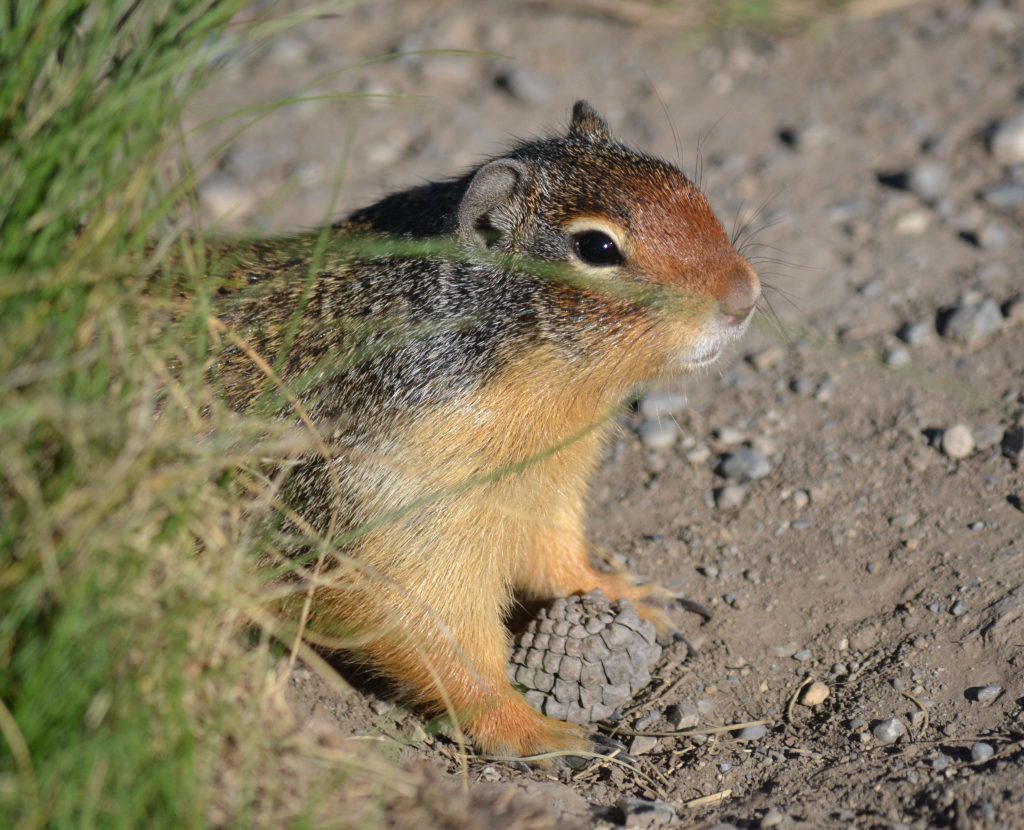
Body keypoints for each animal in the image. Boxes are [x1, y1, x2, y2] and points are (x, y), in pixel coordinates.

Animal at [214, 102, 761, 761]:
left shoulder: (545, 490)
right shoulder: (392, 523)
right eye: (596, 246)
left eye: (686, 185)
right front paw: (540, 732)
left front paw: (628, 594)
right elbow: (441, 638)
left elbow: (557, 559)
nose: (745, 296)